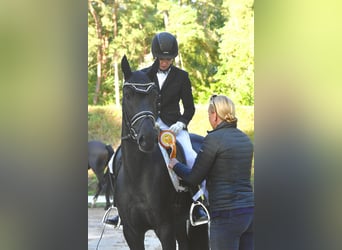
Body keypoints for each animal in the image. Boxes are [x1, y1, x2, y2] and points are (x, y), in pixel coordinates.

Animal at [113, 55, 208, 250]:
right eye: (127, 95)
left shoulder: (164, 228)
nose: (148, 138)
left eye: (154, 96)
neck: (137, 174)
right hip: (179, 222)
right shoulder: (131, 232)